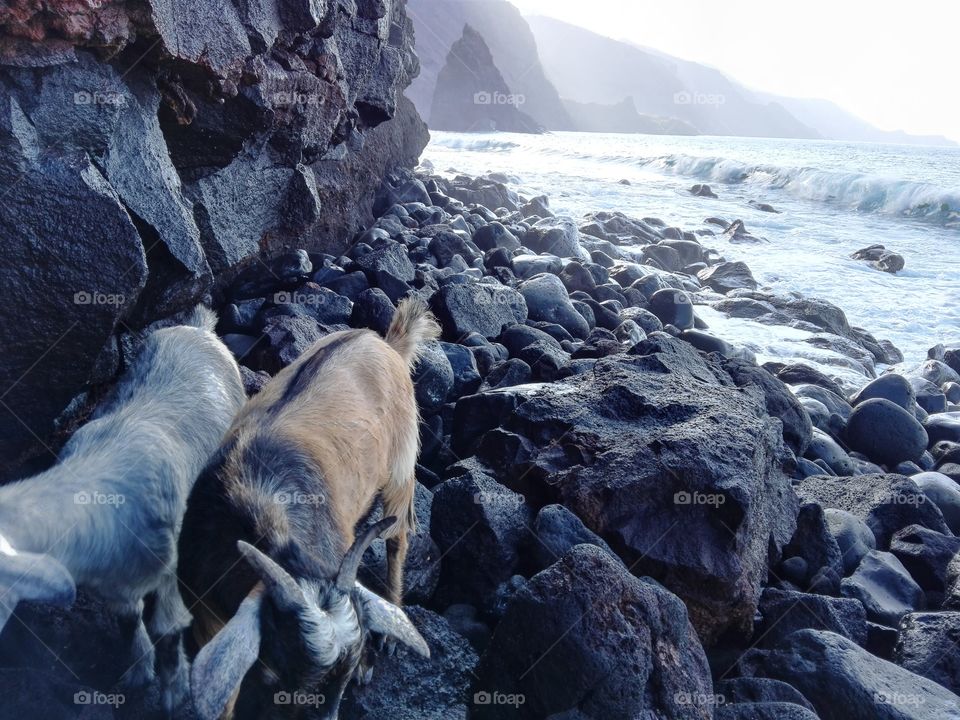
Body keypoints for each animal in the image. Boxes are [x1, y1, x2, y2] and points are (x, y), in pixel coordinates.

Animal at [0, 308, 246, 716]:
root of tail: (198, 326)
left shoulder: (165, 571)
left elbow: (168, 628)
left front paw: (172, 693)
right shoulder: (116, 585)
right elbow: (128, 622)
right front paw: (138, 672)